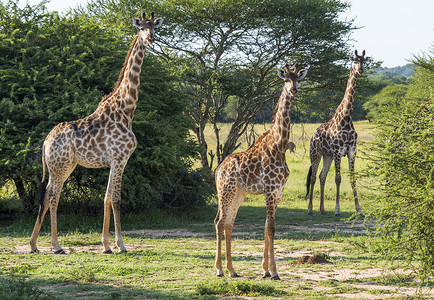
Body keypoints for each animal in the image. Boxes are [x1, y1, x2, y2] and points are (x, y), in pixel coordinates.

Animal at [29, 12, 163, 254]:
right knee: (52, 196)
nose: (150, 38)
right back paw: (56, 245)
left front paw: (106, 245)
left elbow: (107, 198)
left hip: (63, 166)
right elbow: (116, 199)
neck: (126, 110)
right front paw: (120, 244)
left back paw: (34, 244)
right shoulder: (119, 158)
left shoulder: (116, 161)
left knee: (46, 195)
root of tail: (45, 142)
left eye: (154, 27)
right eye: (141, 28)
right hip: (60, 165)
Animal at [215, 62, 306, 280]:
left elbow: (267, 226)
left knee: (228, 224)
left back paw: (232, 270)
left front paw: (265, 269)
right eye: (285, 79)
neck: (279, 147)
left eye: (298, 79)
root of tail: (218, 169)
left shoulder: (278, 191)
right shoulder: (270, 190)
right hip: (225, 191)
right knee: (220, 222)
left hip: (238, 193)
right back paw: (220, 269)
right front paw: (274, 271)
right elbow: (271, 227)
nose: (294, 90)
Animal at [306, 49, 370, 216]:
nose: (360, 70)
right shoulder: (337, 152)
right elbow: (338, 178)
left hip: (326, 155)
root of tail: (312, 136)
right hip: (315, 153)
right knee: (314, 177)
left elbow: (352, 178)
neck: (346, 118)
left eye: (364, 61)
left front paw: (359, 209)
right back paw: (310, 209)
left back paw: (322, 209)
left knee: (322, 176)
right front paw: (337, 209)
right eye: (354, 60)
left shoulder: (351, 150)